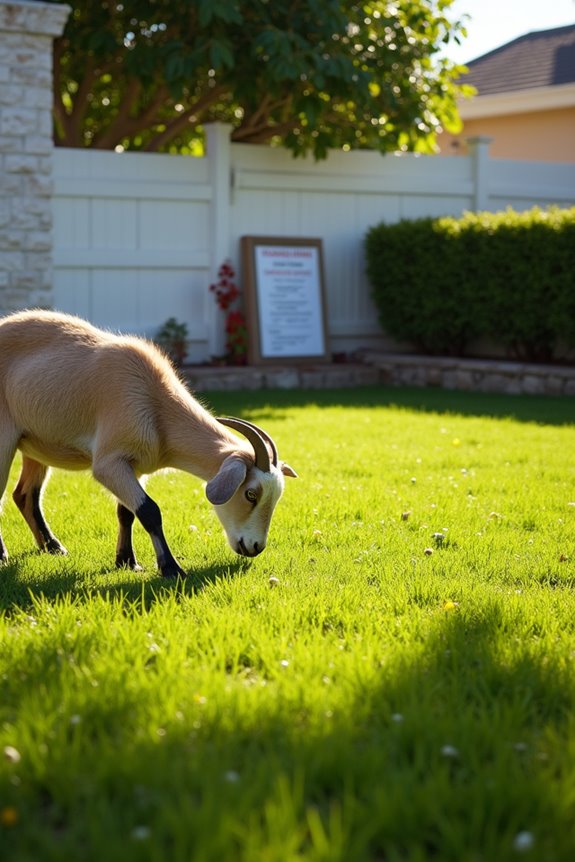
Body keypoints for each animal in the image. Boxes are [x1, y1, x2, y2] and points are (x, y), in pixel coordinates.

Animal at [0, 309, 297, 577]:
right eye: (251, 494)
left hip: (35, 447)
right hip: (5, 440)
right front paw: (171, 568)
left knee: (25, 495)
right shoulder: (109, 463)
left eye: (276, 496)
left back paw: (52, 547)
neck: (155, 403)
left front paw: (127, 562)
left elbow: (127, 512)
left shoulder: (136, 465)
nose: (255, 547)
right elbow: (149, 510)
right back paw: (4, 555)